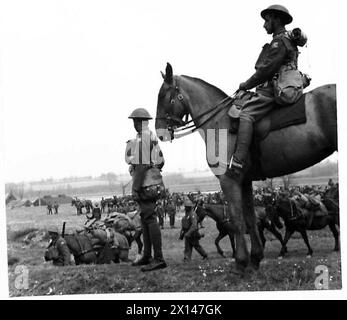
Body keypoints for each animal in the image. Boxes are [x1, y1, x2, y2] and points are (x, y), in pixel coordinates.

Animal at [156, 63, 338, 276]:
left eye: (163, 95)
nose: (159, 132)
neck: (219, 122)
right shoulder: (245, 181)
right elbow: (250, 219)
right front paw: (255, 259)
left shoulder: (229, 180)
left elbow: (237, 220)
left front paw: (240, 263)